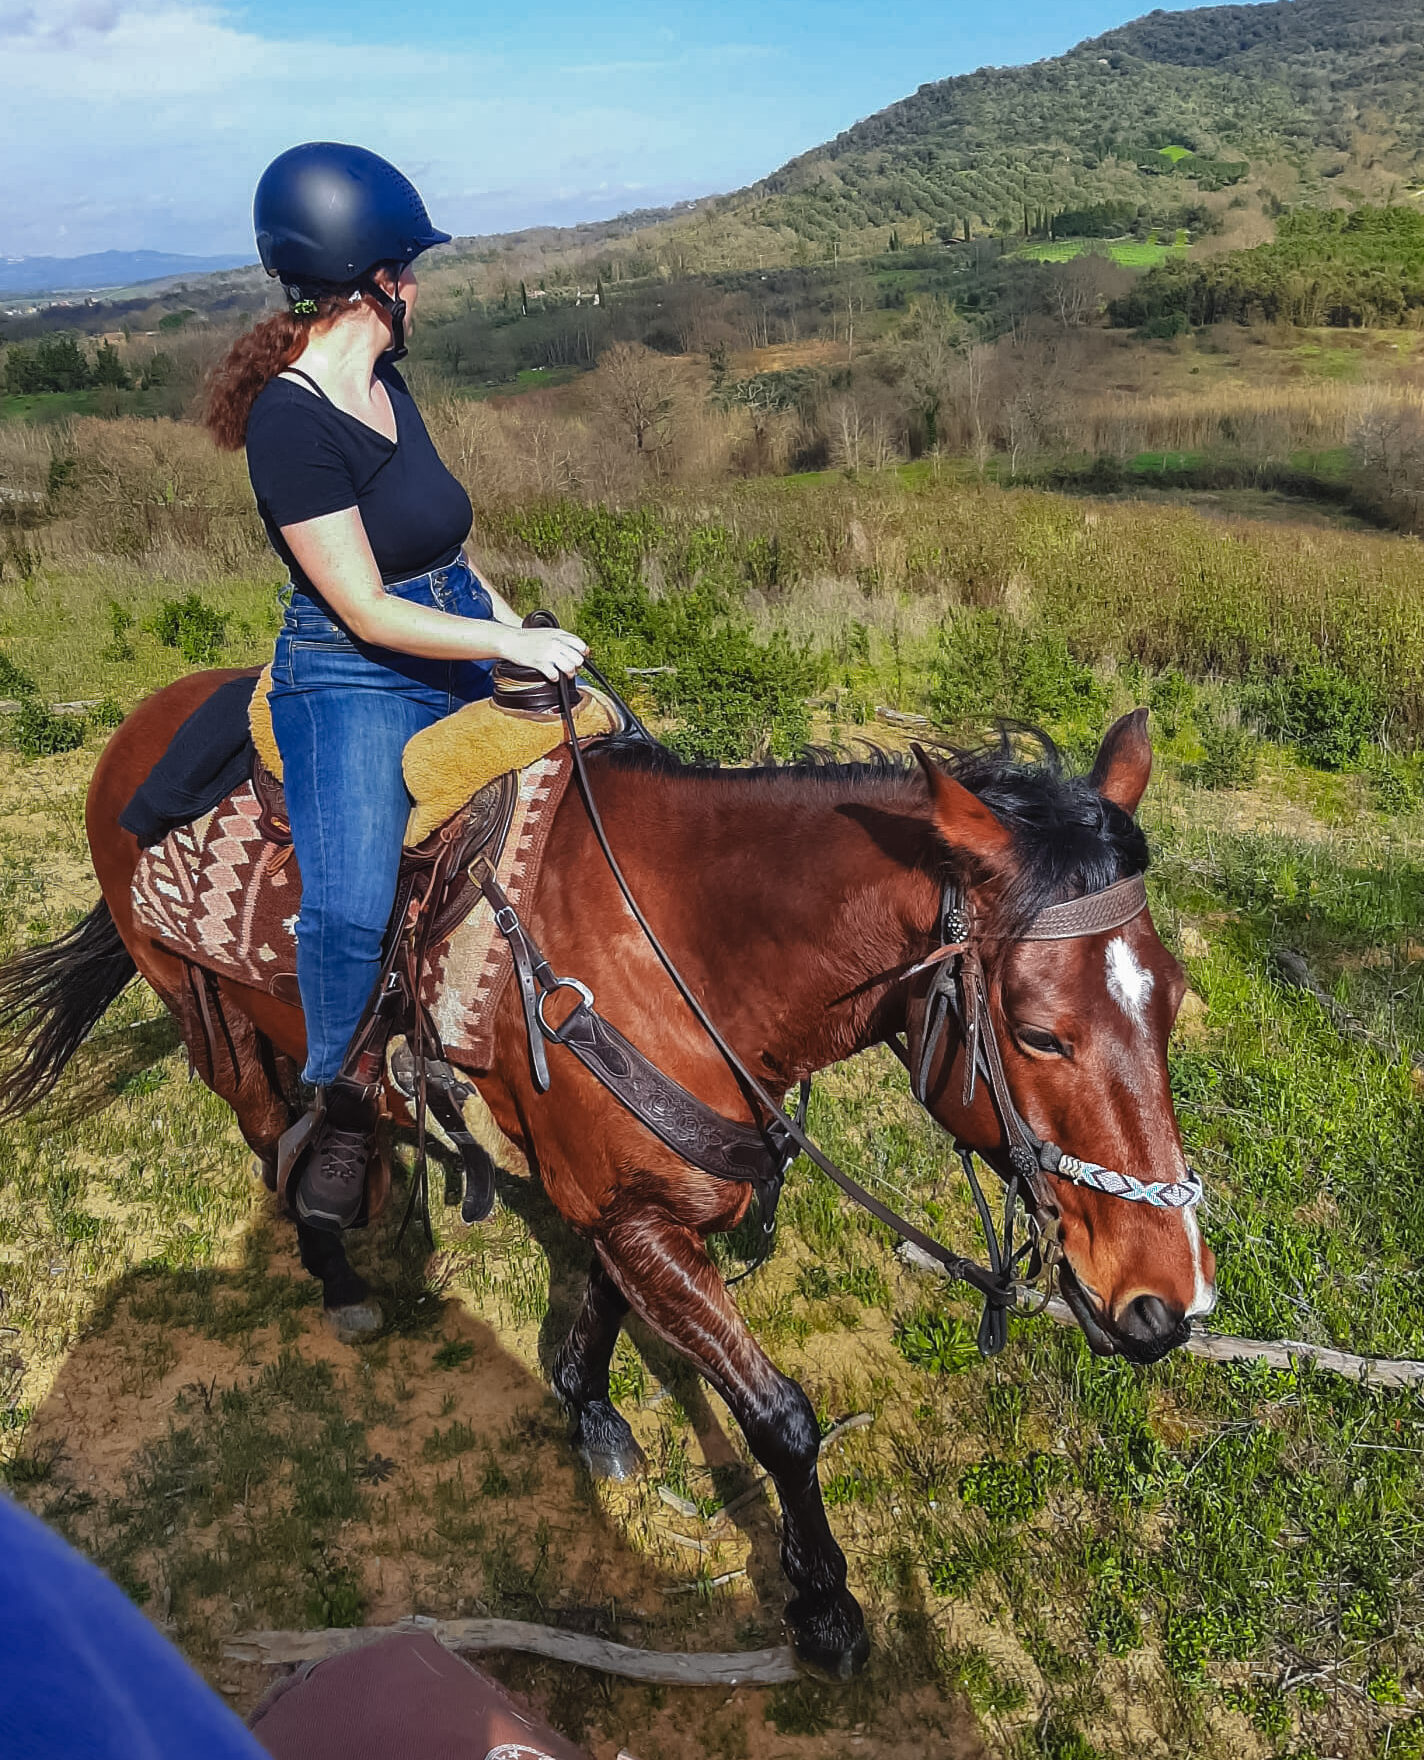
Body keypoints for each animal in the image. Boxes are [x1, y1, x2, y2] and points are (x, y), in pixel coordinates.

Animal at [0, 676, 1215, 1679]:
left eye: (1170, 996)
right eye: (1039, 1033)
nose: (1163, 1303)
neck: (681, 953)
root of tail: (143, 722)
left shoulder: (630, 1204)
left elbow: (600, 1302)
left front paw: (586, 1409)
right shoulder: (640, 1216)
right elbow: (780, 1419)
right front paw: (823, 1608)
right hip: (199, 1013)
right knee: (266, 1134)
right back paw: (336, 1272)